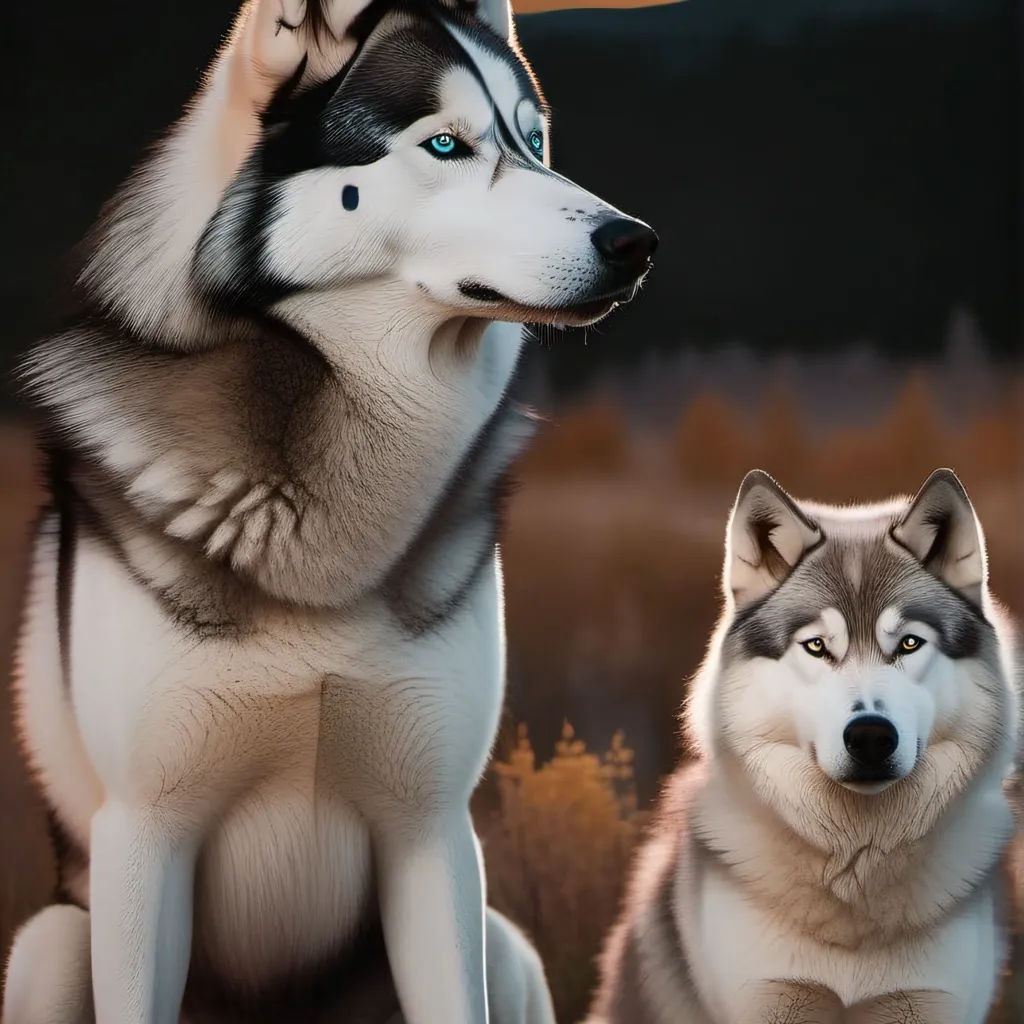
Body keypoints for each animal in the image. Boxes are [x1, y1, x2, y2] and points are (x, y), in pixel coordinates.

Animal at [1, 0, 657, 1022]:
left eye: (536, 141)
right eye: (445, 143)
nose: (635, 242)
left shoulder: (432, 832)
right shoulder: (144, 836)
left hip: (506, 945)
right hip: (50, 943)